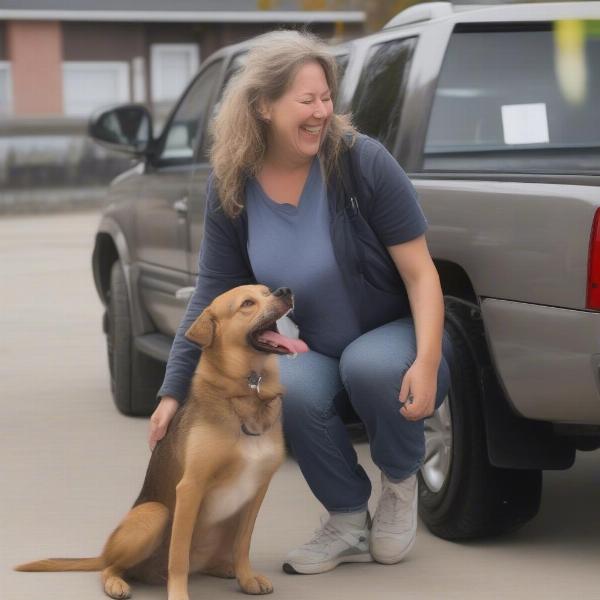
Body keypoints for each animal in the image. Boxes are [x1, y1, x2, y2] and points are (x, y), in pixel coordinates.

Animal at [16, 284, 308, 600]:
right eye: (247, 303)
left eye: (266, 291)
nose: (285, 290)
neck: (247, 393)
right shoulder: (191, 487)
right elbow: (178, 555)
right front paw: (178, 594)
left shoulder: (256, 491)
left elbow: (243, 545)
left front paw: (246, 578)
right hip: (155, 514)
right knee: (112, 567)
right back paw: (117, 582)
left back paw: (224, 568)